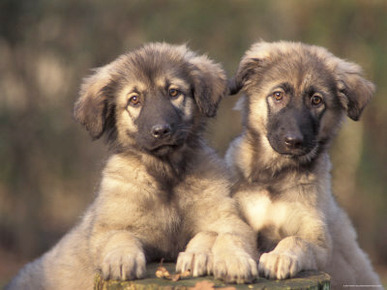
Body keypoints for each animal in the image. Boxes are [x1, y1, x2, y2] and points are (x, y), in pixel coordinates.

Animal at [227, 40, 382, 288]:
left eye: (316, 100)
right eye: (278, 95)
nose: (294, 141)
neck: (275, 175)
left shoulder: (319, 241)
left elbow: (296, 240)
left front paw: (280, 257)